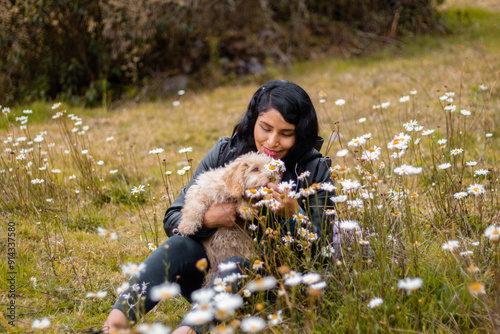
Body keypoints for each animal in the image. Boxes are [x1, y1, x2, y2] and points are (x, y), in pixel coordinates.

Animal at [179, 153, 282, 284]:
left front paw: (246, 210)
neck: (227, 192)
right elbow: (195, 206)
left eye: (270, 168)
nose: (271, 177)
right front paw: (187, 226)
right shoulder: (201, 191)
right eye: (255, 169)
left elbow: (243, 201)